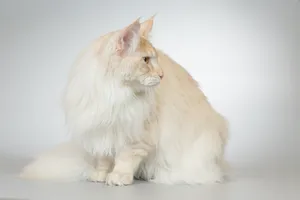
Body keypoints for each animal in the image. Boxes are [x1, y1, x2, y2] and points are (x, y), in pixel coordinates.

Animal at [19, 16, 229, 185]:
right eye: (146, 60)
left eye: (155, 60)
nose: (162, 75)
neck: (114, 92)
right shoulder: (102, 131)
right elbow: (104, 159)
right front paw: (100, 175)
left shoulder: (136, 136)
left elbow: (125, 159)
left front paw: (119, 177)